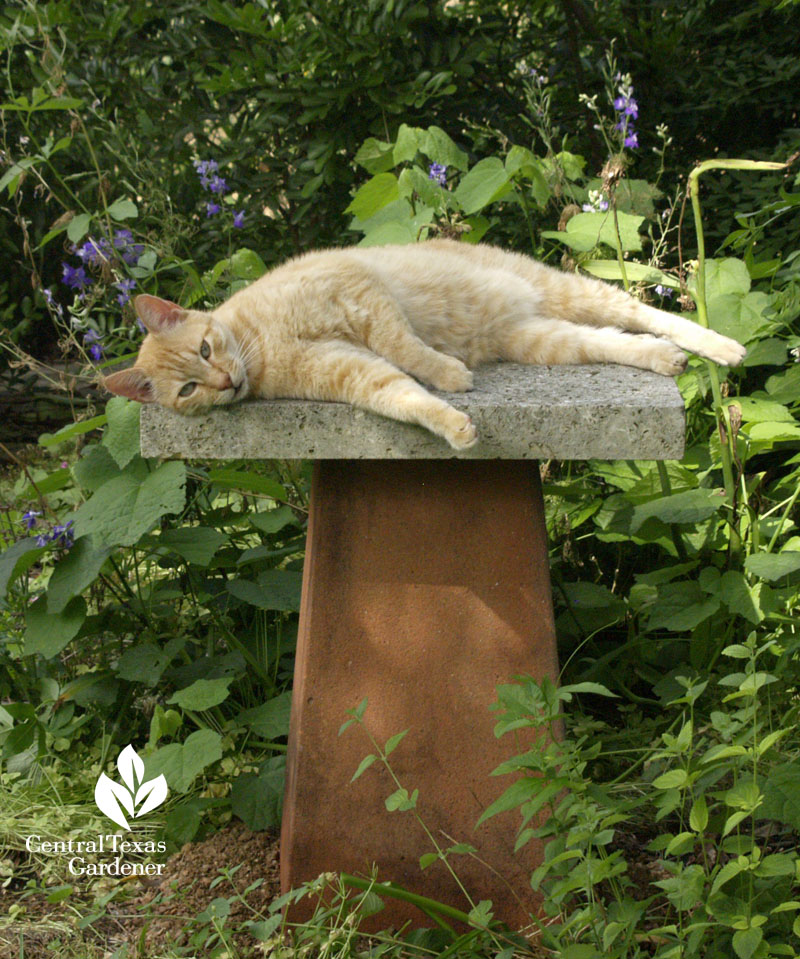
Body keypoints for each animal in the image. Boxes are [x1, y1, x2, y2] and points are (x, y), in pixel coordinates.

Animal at [104, 238, 744, 452]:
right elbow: (401, 393)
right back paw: (664, 359)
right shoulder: (349, 371)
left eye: (205, 349)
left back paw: (722, 347)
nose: (225, 383)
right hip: (547, 338)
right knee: (615, 341)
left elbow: (408, 350)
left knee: (645, 311)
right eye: (188, 390)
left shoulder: (357, 294)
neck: (260, 345)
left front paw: (449, 372)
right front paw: (454, 425)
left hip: (565, 291)